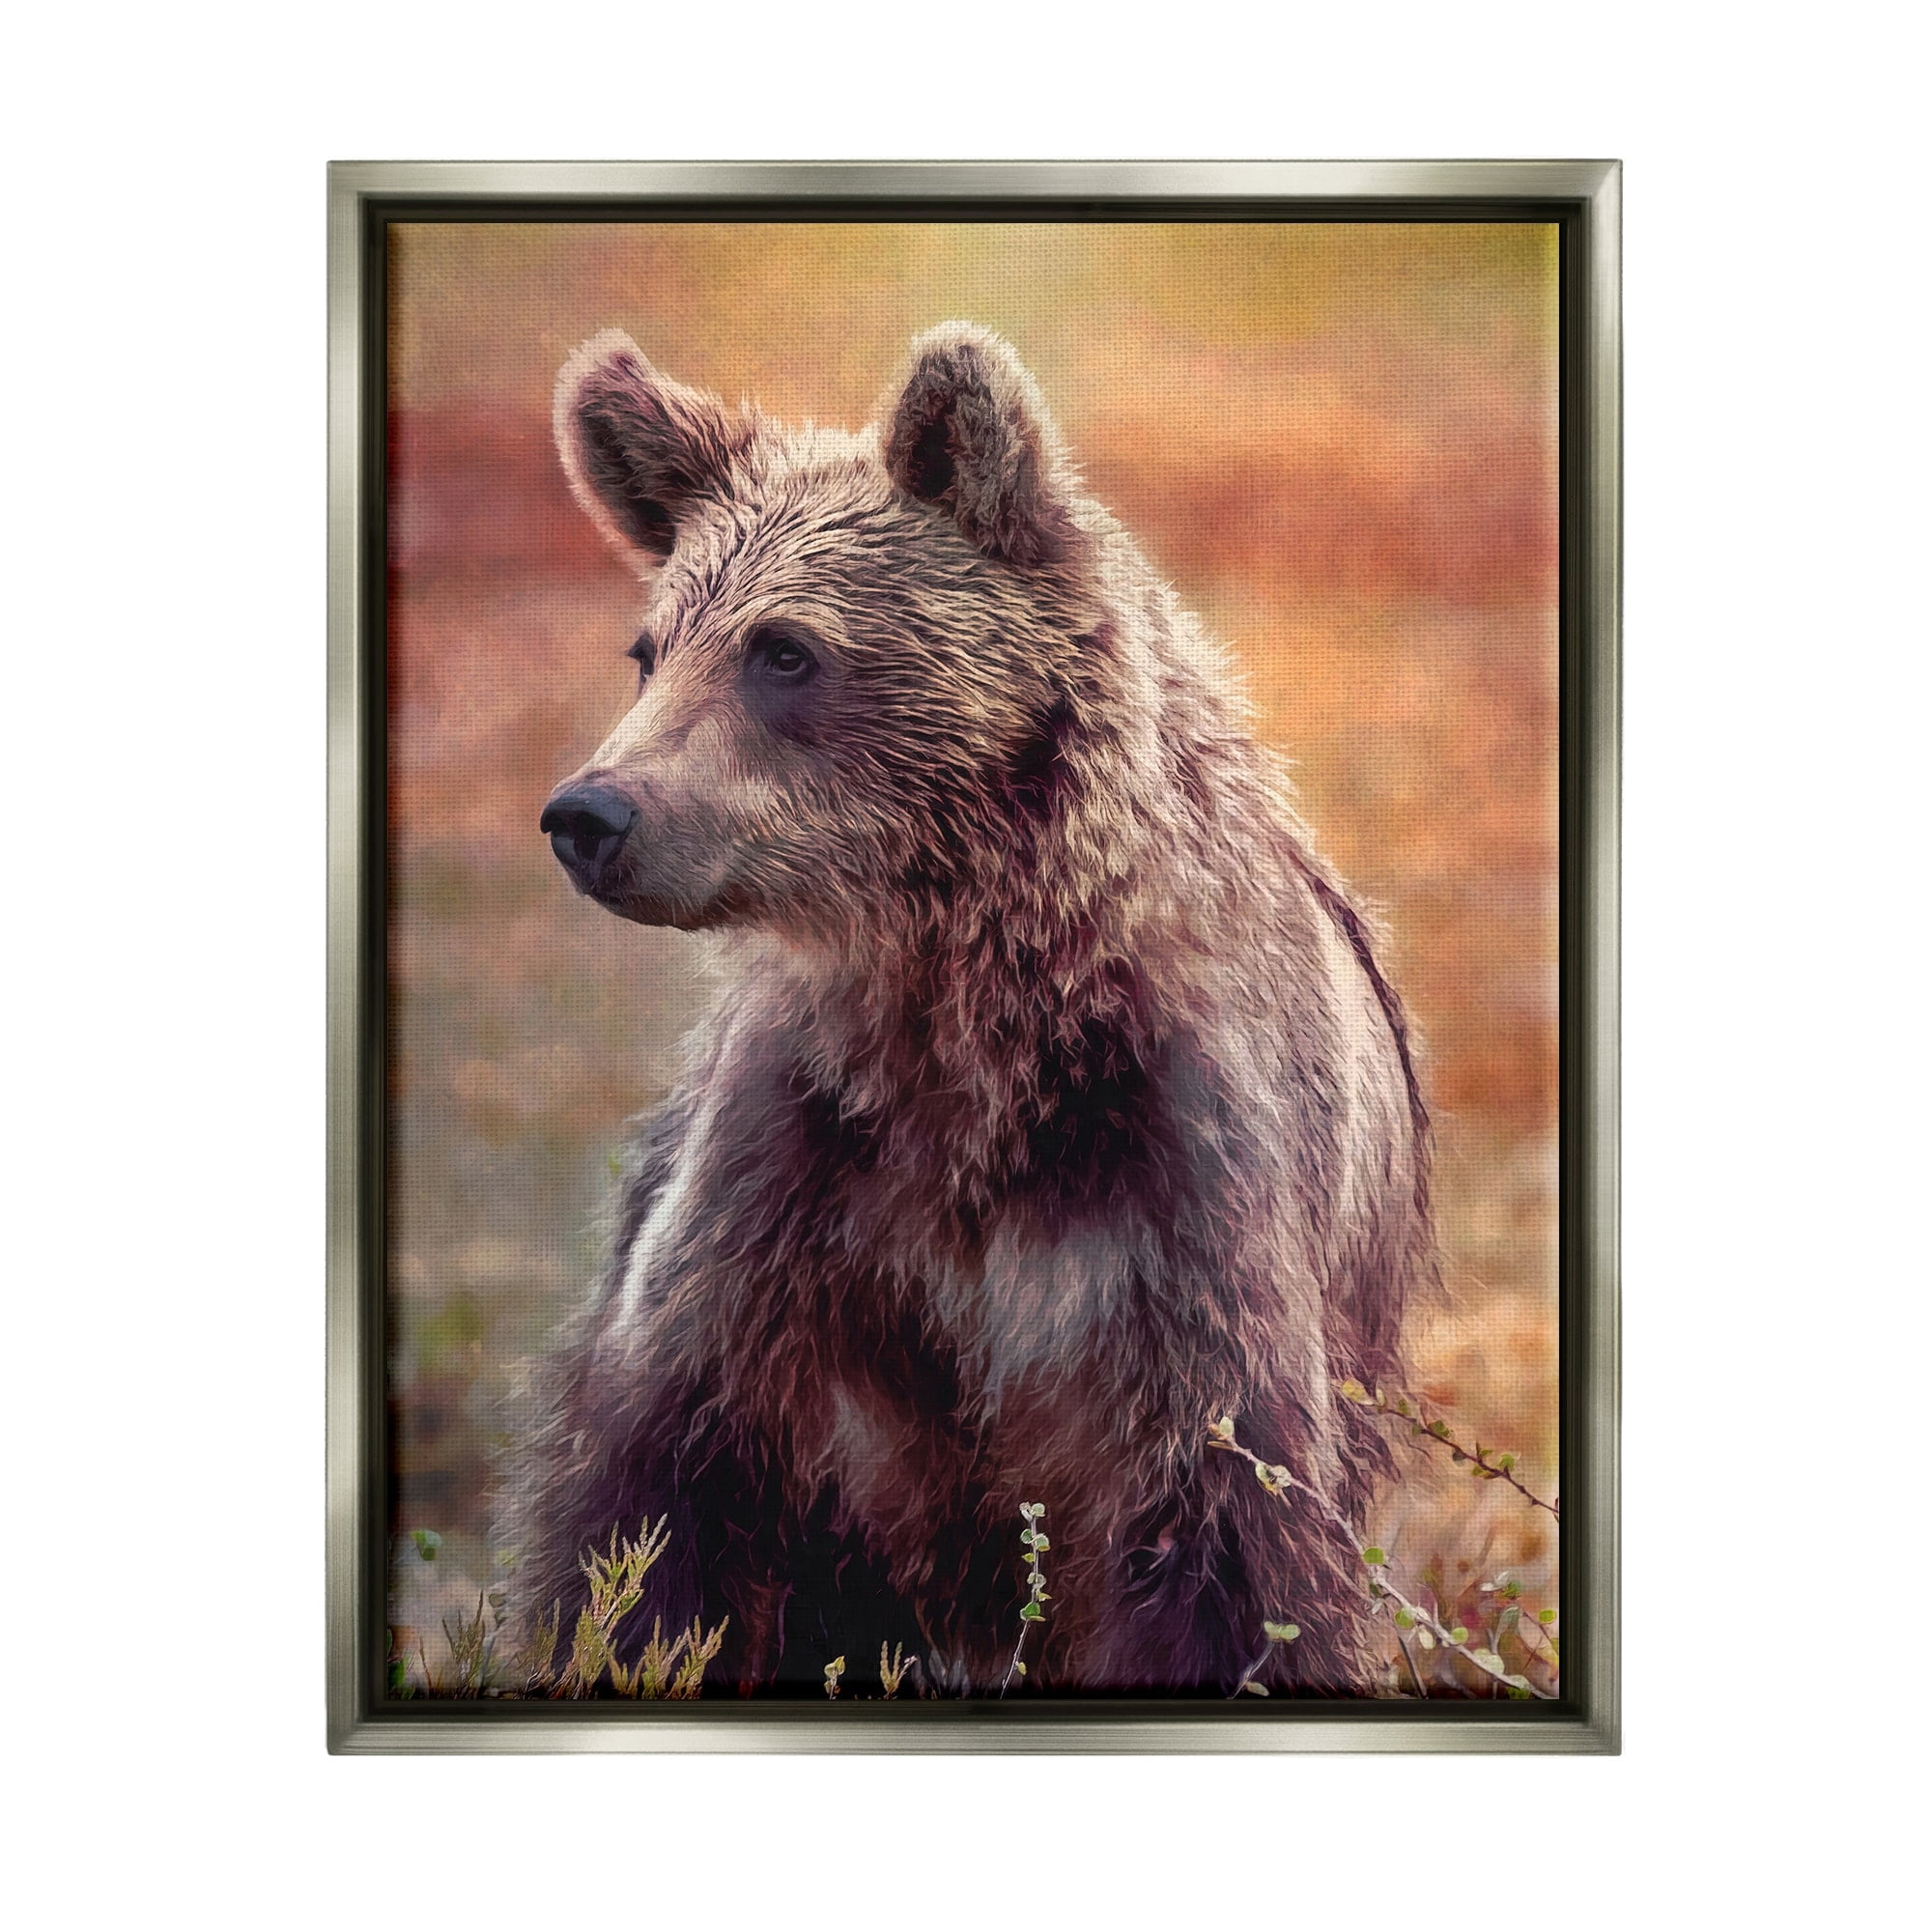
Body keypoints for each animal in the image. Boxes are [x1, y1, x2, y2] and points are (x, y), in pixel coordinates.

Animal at [492, 321, 1435, 1697]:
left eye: (784, 648)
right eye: (650, 647)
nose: (590, 814)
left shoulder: (1174, 1203)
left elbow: (1224, 1543)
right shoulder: (796, 1188)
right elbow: (658, 1503)